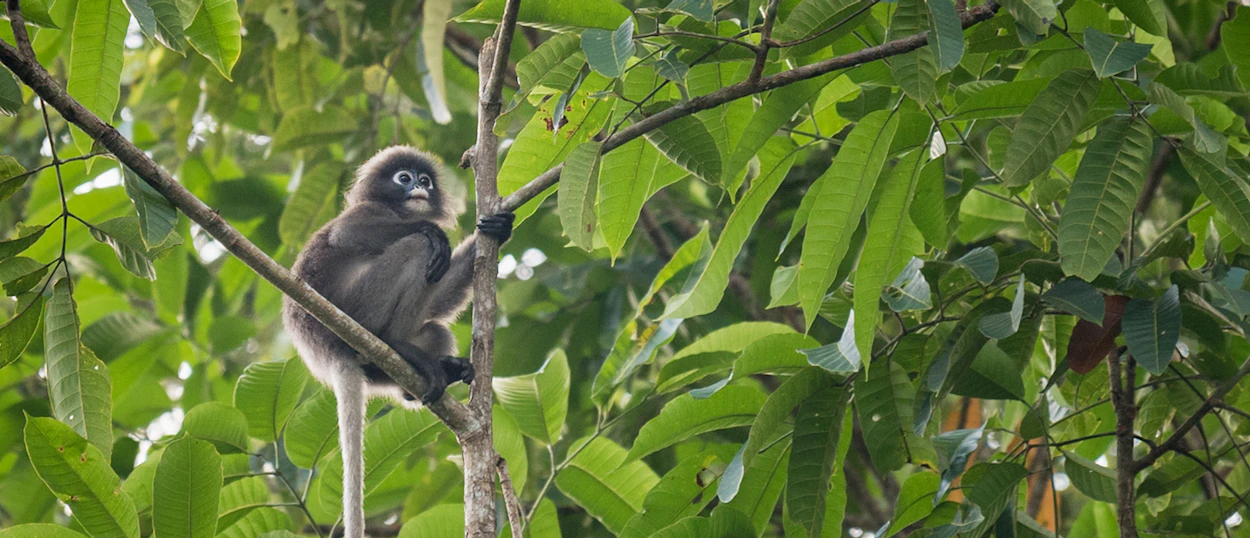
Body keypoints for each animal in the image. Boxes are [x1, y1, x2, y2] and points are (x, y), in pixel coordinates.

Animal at [281, 146, 514, 538]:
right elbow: (347, 232)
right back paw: (396, 341)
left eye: (425, 180)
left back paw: (429, 374)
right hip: (359, 307)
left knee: (435, 327)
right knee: (417, 247)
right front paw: (433, 230)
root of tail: (330, 349)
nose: (418, 188)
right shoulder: (367, 212)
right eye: (403, 178)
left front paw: (501, 229)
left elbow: (437, 299)